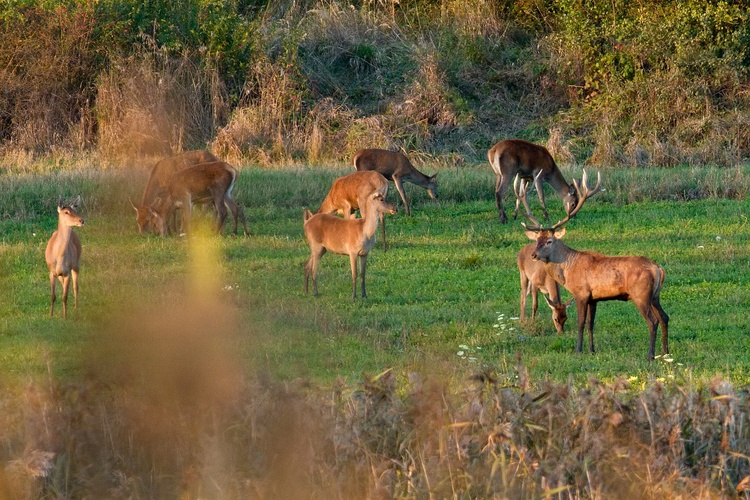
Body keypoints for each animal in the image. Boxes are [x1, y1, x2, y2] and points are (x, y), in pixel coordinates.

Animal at [516, 172, 668, 360]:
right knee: (665, 317)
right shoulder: (593, 298)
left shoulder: (581, 293)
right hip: (655, 295)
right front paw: (592, 349)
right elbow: (591, 324)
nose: (534, 255)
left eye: (549, 241)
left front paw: (578, 350)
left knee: (653, 321)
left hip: (641, 294)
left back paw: (650, 355)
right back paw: (665, 352)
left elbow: (580, 323)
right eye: (537, 239)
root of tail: (658, 269)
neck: (568, 269)